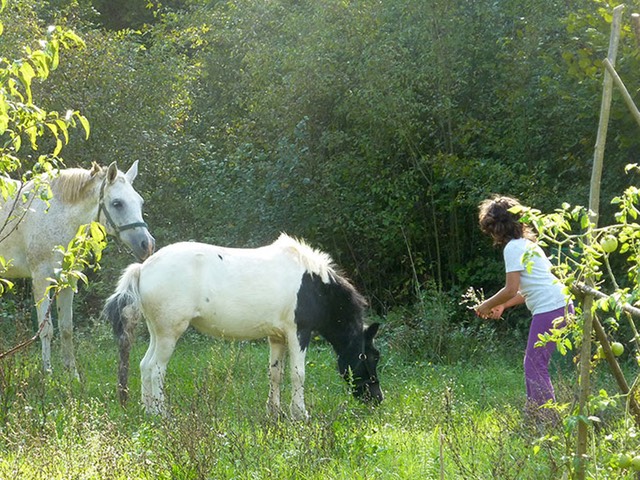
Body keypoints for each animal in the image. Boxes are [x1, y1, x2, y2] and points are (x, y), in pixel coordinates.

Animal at [0, 161, 154, 376]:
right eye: (117, 203)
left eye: (140, 202)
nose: (147, 244)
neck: (55, 215)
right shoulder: (41, 279)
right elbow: (46, 330)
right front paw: (48, 375)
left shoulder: (67, 280)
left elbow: (66, 328)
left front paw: (72, 374)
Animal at [103, 234, 382, 418]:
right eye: (371, 356)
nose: (378, 398)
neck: (314, 285)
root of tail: (143, 268)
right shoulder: (298, 333)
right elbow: (298, 374)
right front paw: (299, 414)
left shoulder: (277, 337)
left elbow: (276, 374)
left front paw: (274, 412)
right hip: (170, 334)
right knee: (156, 369)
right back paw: (162, 413)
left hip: (158, 332)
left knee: (144, 365)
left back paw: (148, 410)